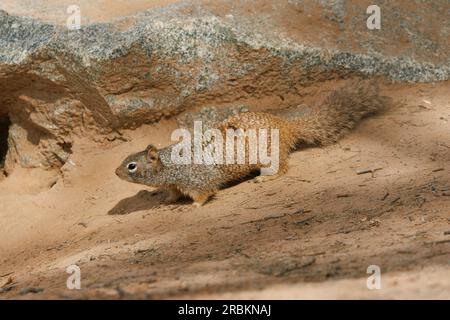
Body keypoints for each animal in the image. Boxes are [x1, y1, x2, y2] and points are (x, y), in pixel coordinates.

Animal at [114, 79, 388, 206]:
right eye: (126, 160)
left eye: (131, 166)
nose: (115, 172)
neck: (170, 164)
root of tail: (286, 126)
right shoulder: (175, 183)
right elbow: (172, 192)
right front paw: (166, 200)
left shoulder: (197, 178)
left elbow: (205, 192)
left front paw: (195, 205)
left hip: (268, 156)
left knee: (283, 168)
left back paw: (265, 178)